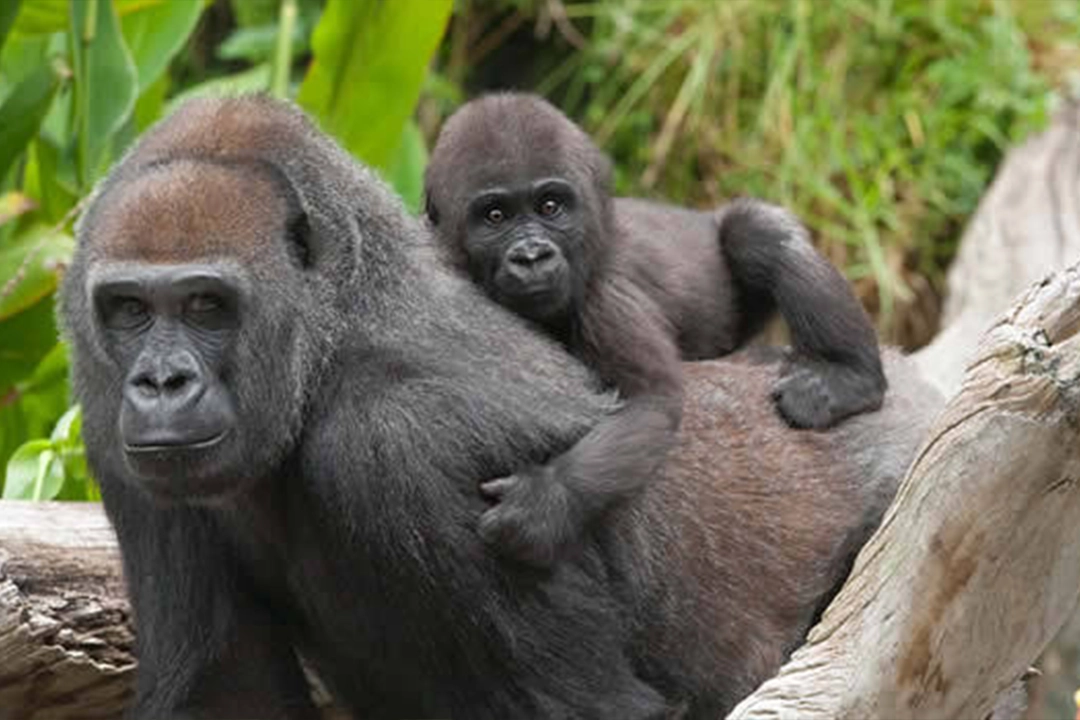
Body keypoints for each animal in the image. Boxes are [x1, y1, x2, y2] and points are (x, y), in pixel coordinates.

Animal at [423, 92, 888, 566]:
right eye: (495, 216)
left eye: (550, 207)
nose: (532, 256)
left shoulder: (606, 301)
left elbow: (652, 401)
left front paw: (547, 500)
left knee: (755, 234)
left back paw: (847, 375)